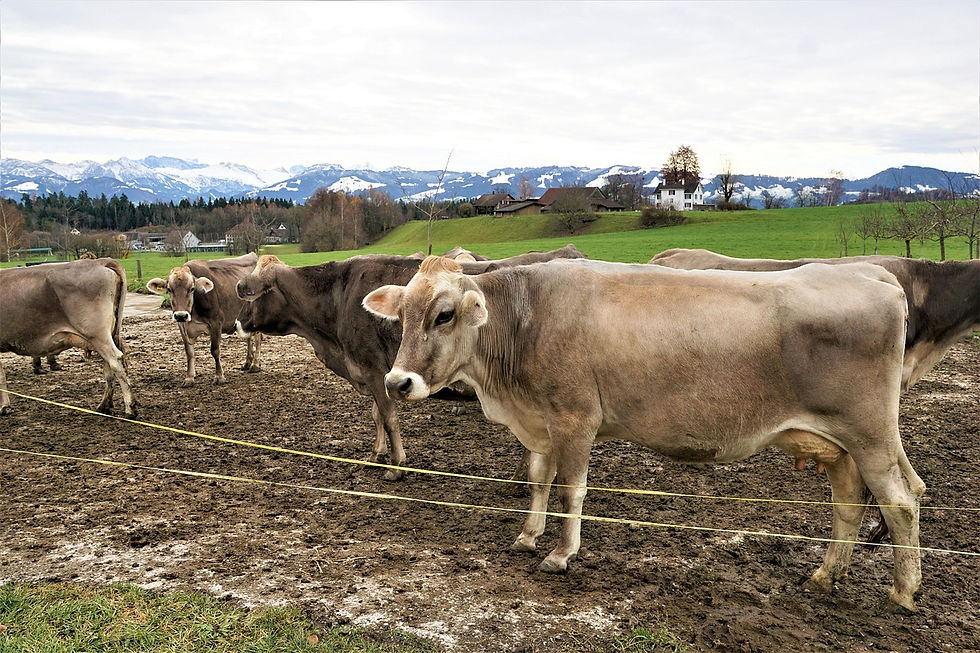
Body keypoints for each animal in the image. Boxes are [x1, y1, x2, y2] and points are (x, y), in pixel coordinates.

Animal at [1, 258, 136, 416]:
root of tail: (100, 261)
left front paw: (4, 406)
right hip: (109, 334)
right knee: (109, 366)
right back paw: (104, 405)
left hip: (97, 334)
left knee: (115, 361)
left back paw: (130, 408)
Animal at [147, 253, 263, 387]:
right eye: (169, 289)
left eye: (192, 289)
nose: (181, 315)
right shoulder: (182, 326)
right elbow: (189, 352)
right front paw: (189, 378)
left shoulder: (216, 323)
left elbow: (215, 350)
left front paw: (219, 376)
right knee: (249, 338)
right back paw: (247, 362)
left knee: (257, 338)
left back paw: (255, 365)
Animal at [234, 245, 587, 481]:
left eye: (253, 293)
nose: (237, 323)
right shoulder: (376, 373)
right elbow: (377, 415)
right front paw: (376, 455)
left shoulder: (375, 370)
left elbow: (389, 417)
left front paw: (396, 465)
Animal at [363, 256, 924, 610]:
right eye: (403, 315)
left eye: (444, 315)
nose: (397, 382)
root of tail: (872, 274)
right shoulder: (543, 424)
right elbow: (540, 479)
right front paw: (527, 536)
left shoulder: (576, 419)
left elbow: (571, 490)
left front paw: (561, 554)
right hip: (839, 446)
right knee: (849, 501)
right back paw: (826, 575)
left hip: (871, 436)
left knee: (900, 501)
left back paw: (903, 592)